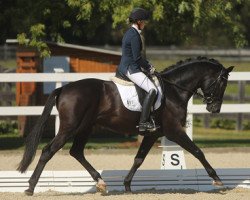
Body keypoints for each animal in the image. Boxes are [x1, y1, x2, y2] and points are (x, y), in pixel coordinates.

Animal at [18, 57, 234, 195]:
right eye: (222, 83)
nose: (214, 108)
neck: (174, 90)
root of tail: (64, 88)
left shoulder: (152, 134)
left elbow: (139, 159)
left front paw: (128, 186)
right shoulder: (174, 131)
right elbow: (198, 151)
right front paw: (217, 180)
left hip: (85, 127)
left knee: (76, 152)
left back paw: (101, 182)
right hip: (69, 127)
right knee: (48, 151)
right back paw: (30, 187)